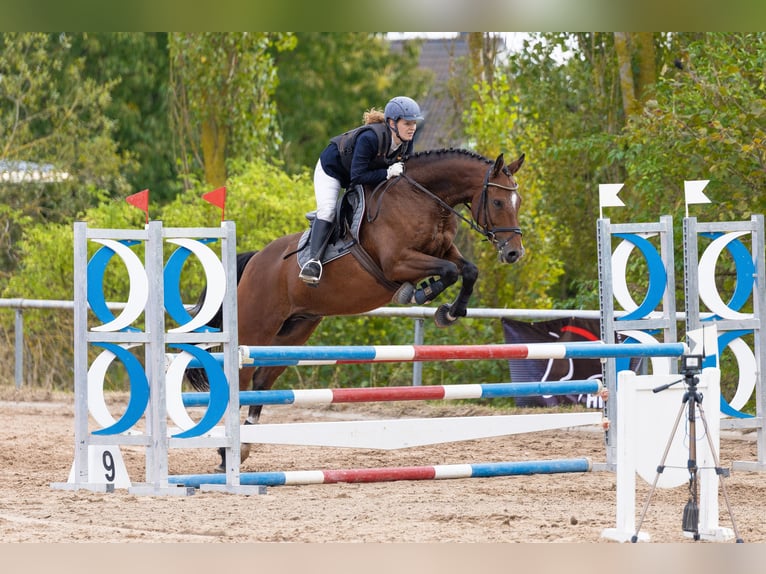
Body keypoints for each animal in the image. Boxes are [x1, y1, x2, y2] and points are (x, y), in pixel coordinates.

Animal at [192, 150, 528, 472]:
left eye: (518, 201)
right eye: (498, 201)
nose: (514, 253)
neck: (424, 200)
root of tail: (255, 259)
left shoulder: (444, 251)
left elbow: (467, 270)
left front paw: (449, 312)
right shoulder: (398, 262)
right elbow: (447, 271)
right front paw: (418, 293)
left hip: (295, 331)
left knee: (263, 380)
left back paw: (244, 446)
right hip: (257, 327)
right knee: (241, 378)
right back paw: (225, 453)